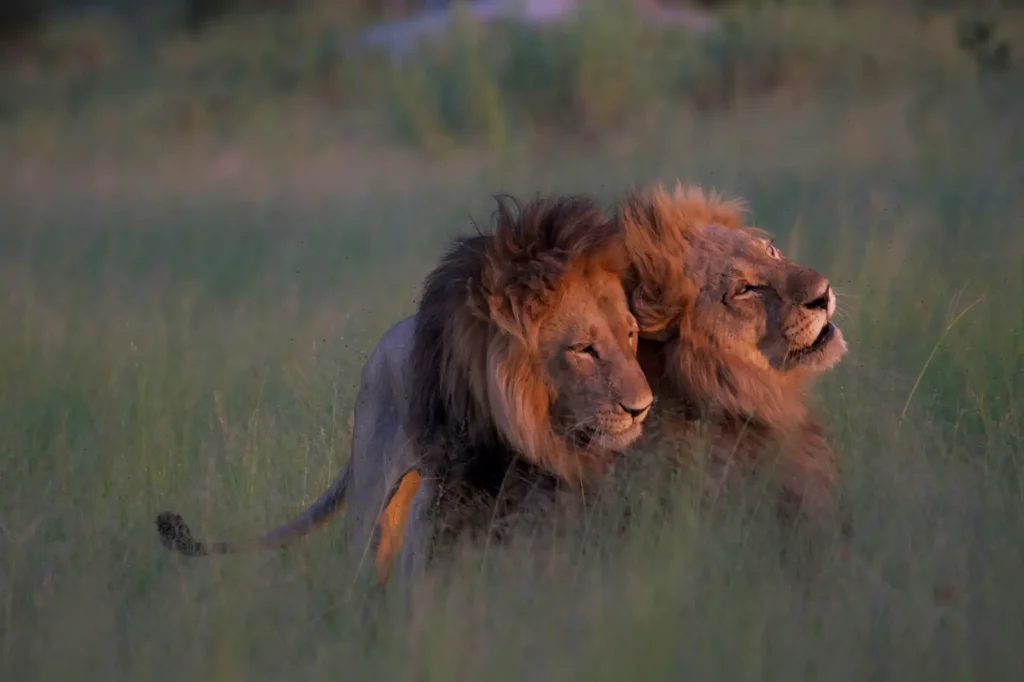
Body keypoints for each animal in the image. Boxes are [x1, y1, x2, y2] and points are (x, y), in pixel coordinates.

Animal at [155, 191, 651, 585]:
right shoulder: (440, 508)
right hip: (374, 506)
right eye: (584, 349)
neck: (532, 435)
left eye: (631, 335)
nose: (642, 407)